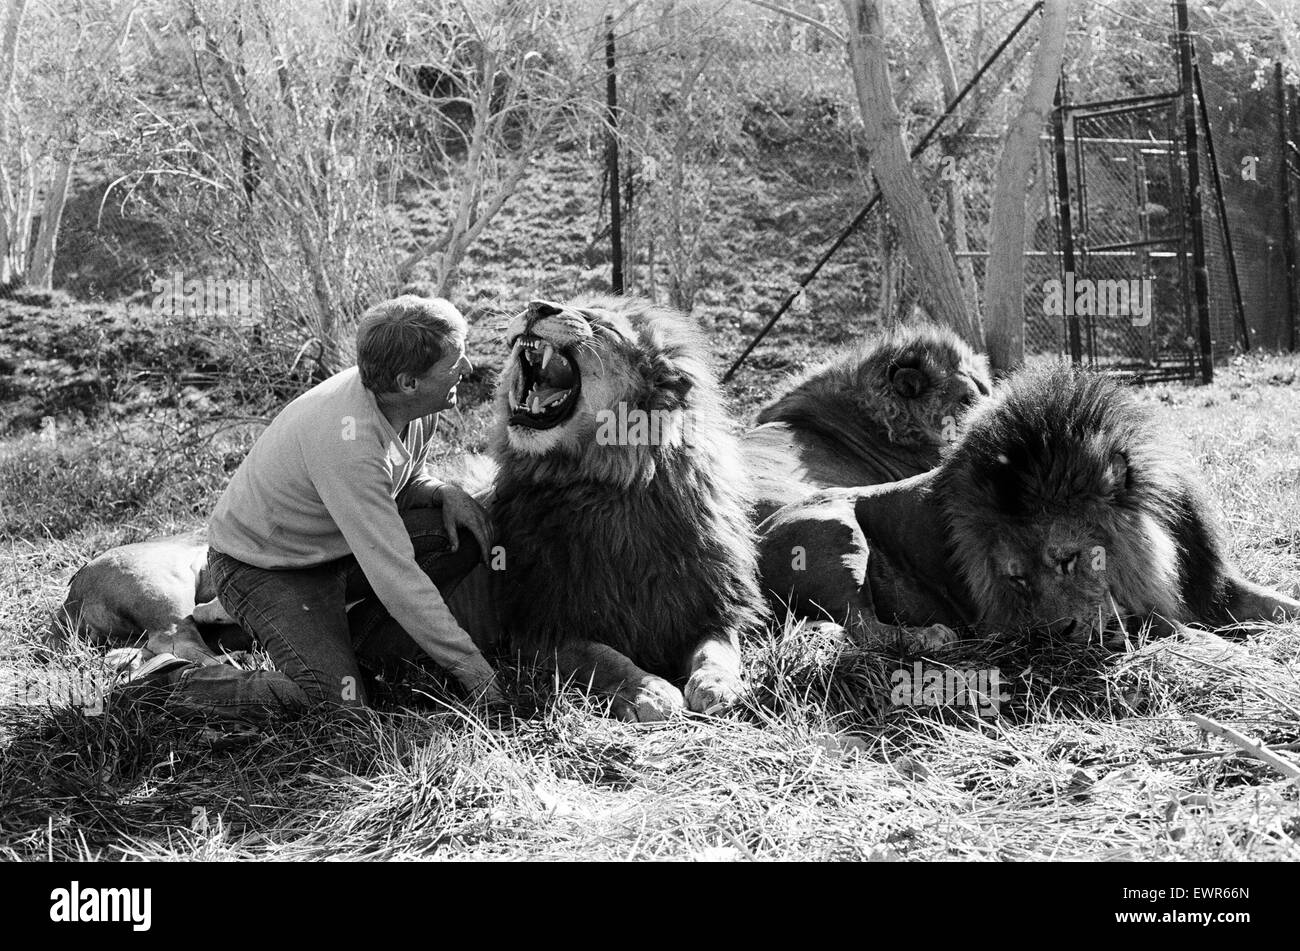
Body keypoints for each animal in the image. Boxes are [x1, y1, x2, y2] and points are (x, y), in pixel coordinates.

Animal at [488, 297, 769, 722]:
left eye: (599, 324)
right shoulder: (539, 622)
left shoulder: (707, 603)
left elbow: (718, 648)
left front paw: (717, 685)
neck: (608, 487)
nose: (536, 305)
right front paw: (648, 690)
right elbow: (601, 657)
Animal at [759, 363, 1300, 646]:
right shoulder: (1134, 614)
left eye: (1068, 559)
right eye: (1015, 578)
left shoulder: (1208, 578)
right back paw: (929, 637)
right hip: (834, 532)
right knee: (865, 629)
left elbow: (1277, 602)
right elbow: (1182, 630)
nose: (1058, 634)